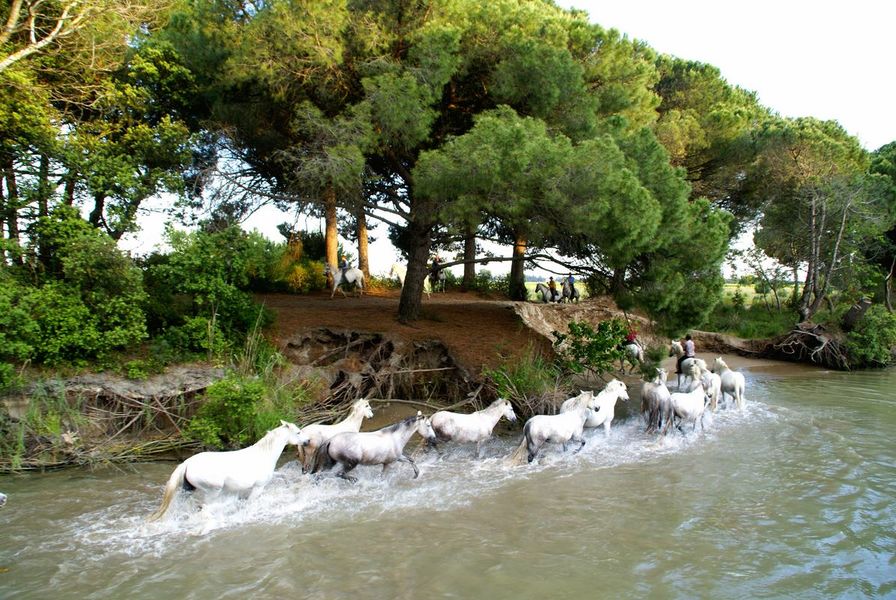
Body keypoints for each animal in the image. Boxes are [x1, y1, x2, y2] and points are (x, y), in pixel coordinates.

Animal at [148, 420, 306, 521]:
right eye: (298, 432)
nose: (306, 442)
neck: (264, 454)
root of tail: (187, 463)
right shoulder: (258, 487)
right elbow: (250, 504)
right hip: (214, 490)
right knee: (206, 507)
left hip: (188, 490)